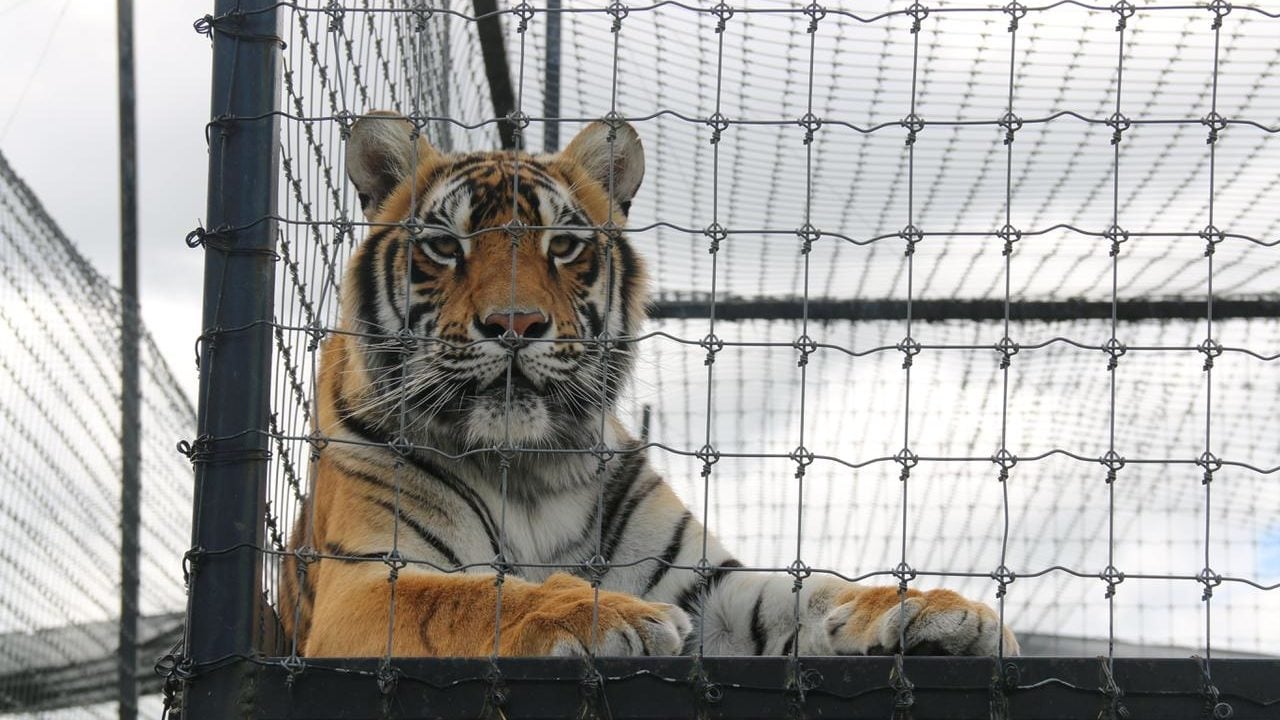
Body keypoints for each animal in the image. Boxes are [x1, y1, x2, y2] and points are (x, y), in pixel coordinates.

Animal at [279, 110, 1018, 658]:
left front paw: (936, 608)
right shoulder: (368, 583)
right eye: (443, 246)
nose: (515, 323)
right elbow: (474, 596)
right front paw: (604, 613)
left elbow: (805, 592)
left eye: (563, 246)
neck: (527, 469)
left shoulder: (703, 585)